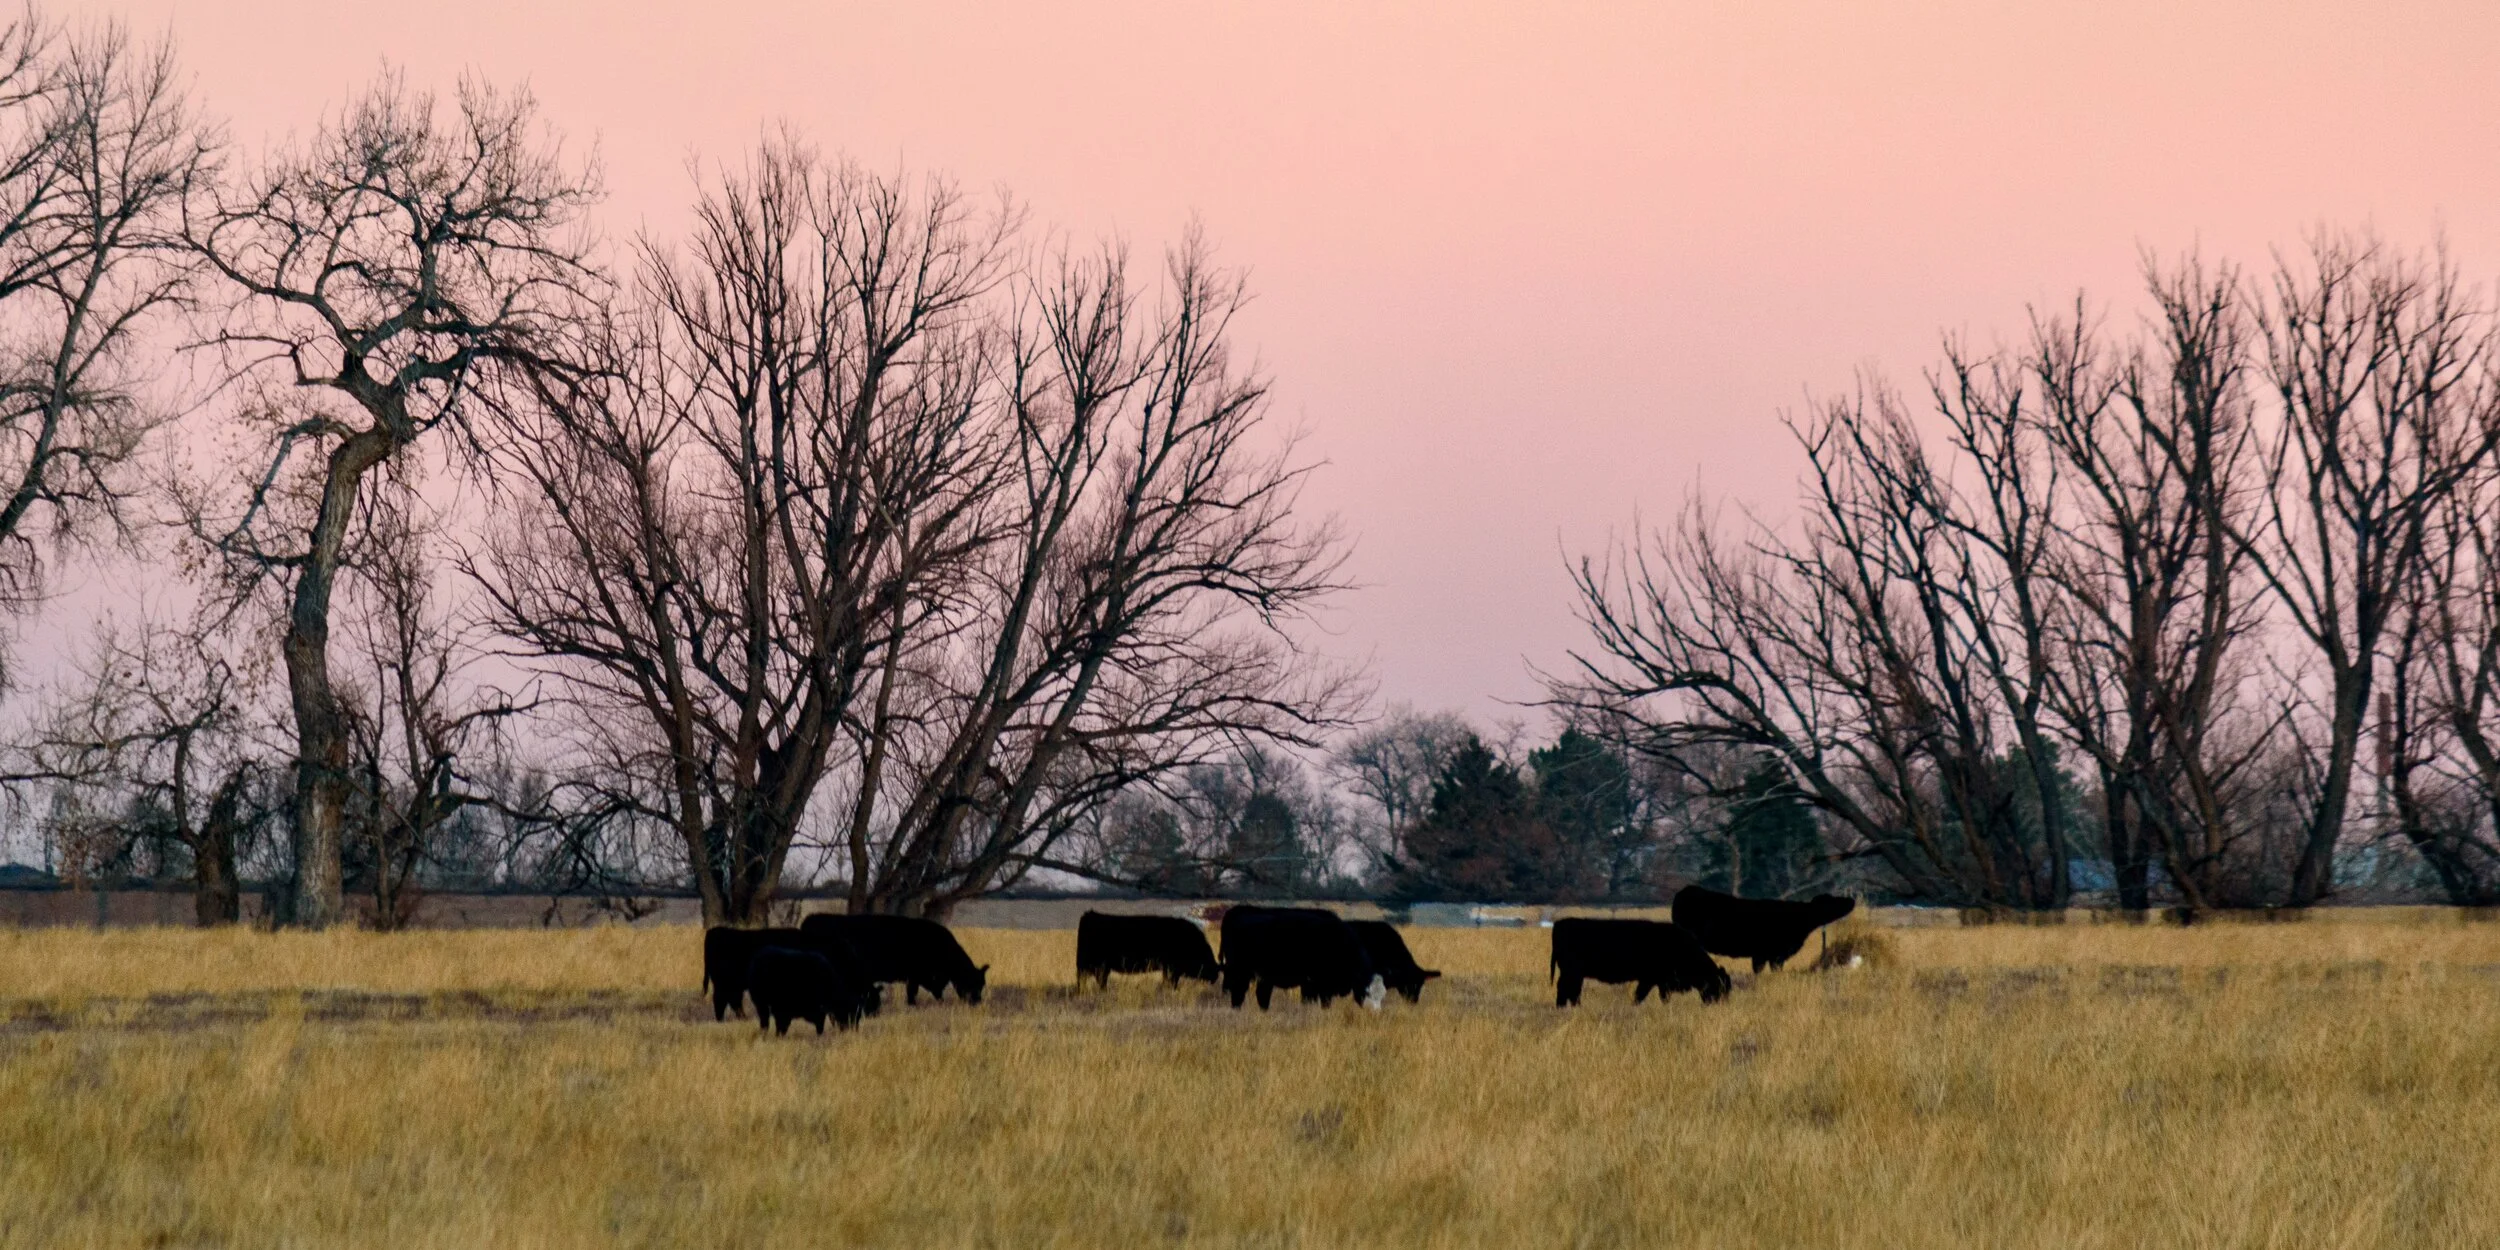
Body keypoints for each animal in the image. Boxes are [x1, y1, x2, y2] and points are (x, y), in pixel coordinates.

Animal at [800, 913, 989, 1005]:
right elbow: (920, 989)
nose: (977, 1001)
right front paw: (914, 1003)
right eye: (973, 983)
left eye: (982, 984)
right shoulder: (918, 973)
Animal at [1075, 911, 1222, 989]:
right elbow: (1171, 982)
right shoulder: (1172, 968)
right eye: (1210, 965)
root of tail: (1090, 915)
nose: (1214, 978)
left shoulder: (1168, 969)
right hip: (1094, 965)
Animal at [1218, 905, 1384, 1011]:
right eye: (1366, 992)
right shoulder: (1319, 983)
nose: (1375, 1012)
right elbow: (1321, 1001)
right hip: (1241, 971)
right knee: (1239, 991)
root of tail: (1237, 911)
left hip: (1263, 976)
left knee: (1261, 994)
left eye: (1382, 995)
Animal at [1549, 917, 1732, 1007]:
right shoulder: (1650, 980)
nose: (1719, 1004)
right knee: (1567, 989)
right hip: (1572, 972)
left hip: (1574, 974)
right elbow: (1641, 996)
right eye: (1718, 986)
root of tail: (1559, 924)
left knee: (1571, 990)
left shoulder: (1659, 982)